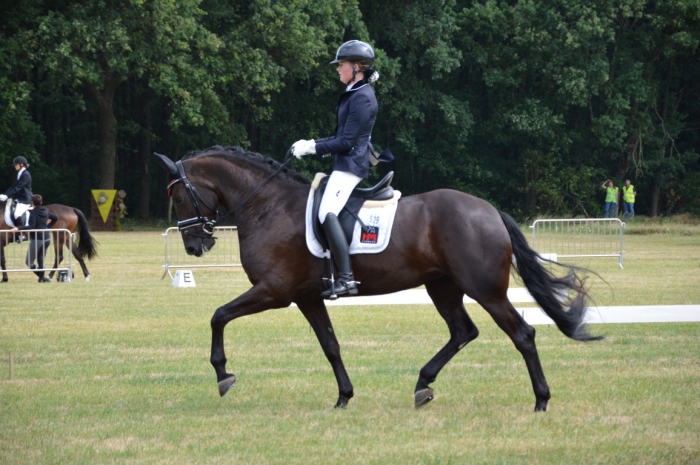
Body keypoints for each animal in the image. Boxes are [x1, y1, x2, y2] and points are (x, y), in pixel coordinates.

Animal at [154, 146, 600, 410]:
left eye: (179, 196)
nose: (194, 247)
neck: (267, 206)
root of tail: (489, 211)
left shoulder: (274, 292)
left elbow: (218, 315)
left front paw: (223, 375)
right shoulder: (306, 297)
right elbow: (330, 345)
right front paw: (344, 397)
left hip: (485, 289)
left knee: (522, 334)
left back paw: (541, 401)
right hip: (443, 287)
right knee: (463, 331)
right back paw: (423, 384)